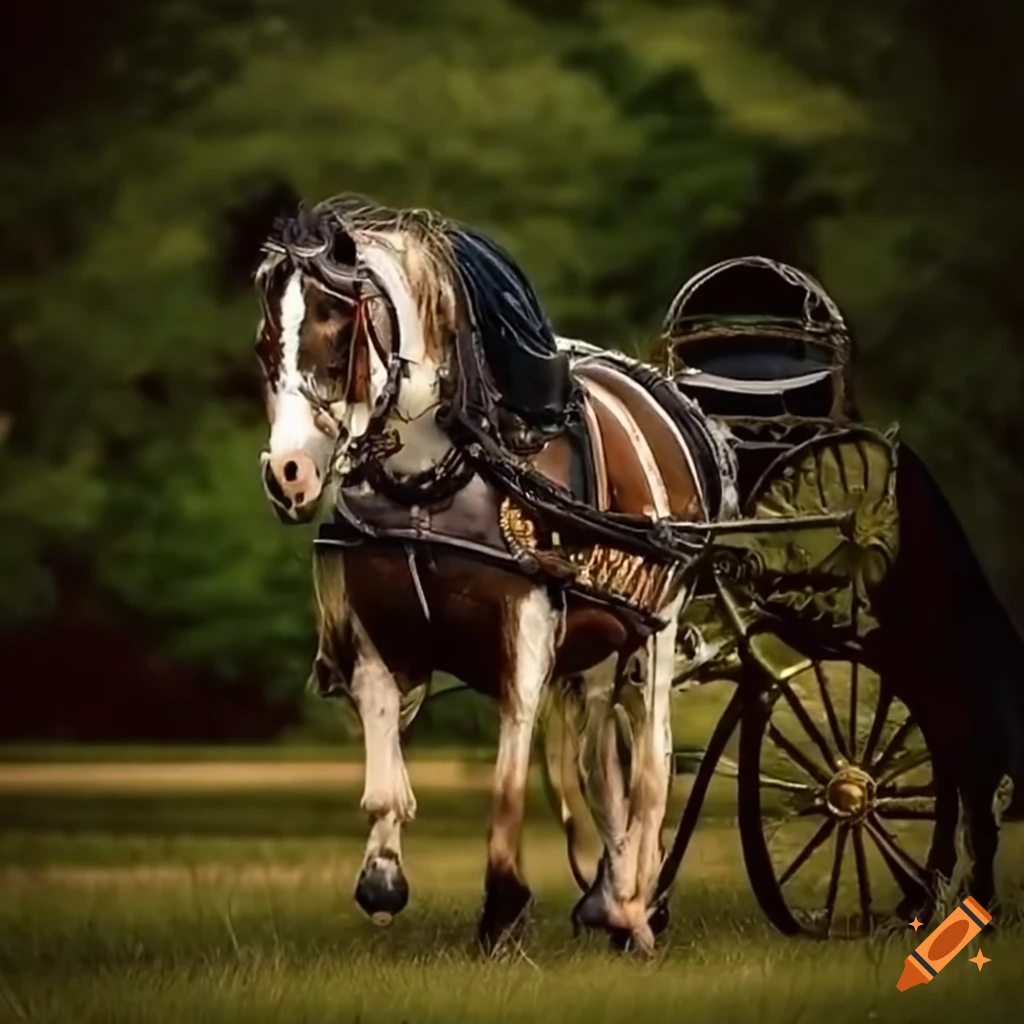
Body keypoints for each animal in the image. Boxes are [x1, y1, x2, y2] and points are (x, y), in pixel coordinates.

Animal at [250, 195, 737, 952]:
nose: (288, 474)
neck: (434, 483)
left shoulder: (527, 634)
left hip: (656, 630)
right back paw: (611, 896)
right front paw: (382, 879)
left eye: (336, 327)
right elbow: (384, 779)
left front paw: (504, 906)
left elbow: (510, 777)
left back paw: (634, 905)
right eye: (267, 344)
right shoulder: (375, 641)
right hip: (598, 652)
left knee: (652, 764)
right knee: (602, 768)